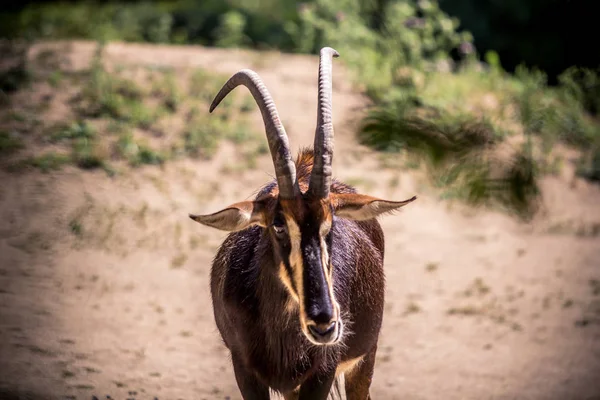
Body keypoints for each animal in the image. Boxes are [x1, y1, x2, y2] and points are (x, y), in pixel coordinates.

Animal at [190, 47, 414, 400]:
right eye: (278, 226)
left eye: (330, 225)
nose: (324, 323)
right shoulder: (244, 370)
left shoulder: (321, 374)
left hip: (363, 361)